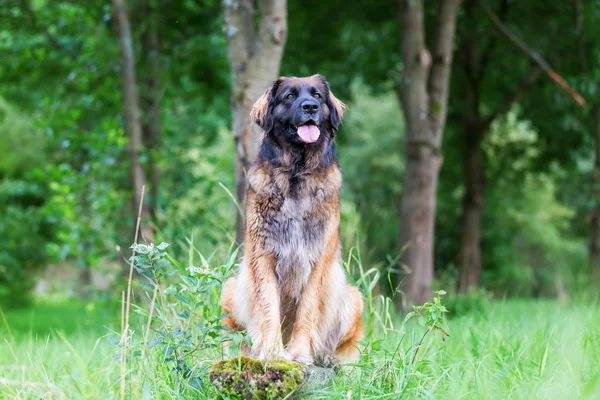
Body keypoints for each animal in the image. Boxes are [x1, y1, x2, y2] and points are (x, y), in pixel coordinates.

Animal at [219, 73, 364, 364]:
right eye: (289, 96)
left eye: (317, 95)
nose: (310, 107)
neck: (296, 173)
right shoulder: (263, 256)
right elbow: (268, 307)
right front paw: (272, 352)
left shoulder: (317, 258)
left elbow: (306, 311)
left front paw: (298, 353)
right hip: (229, 290)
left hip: (354, 299)